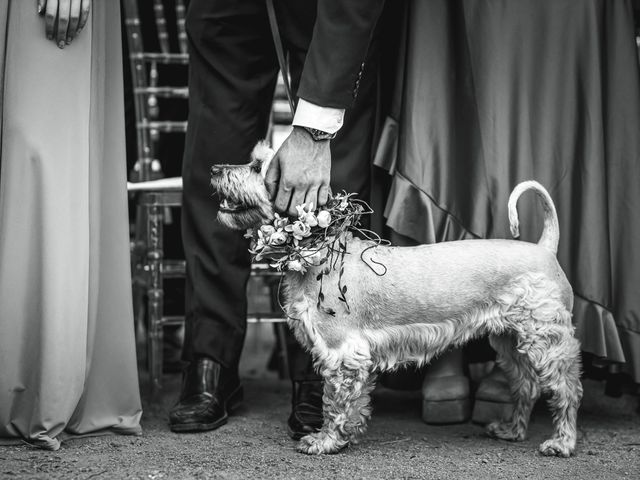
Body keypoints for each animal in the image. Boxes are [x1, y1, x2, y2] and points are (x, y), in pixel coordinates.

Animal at [212, 142, 584, 458]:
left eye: (258, 165)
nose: (215, 168)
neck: (318, 253)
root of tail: (545, 247)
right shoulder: (354, 358)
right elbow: (356, 403)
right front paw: (349, 435)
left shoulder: (341, 352)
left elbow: (334, 402)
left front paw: (325, 441)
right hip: (509, 343)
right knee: (527, 387)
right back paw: (512, 430)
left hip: (546, 342)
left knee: (566, 390)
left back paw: (561, 443)